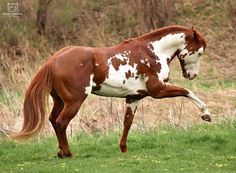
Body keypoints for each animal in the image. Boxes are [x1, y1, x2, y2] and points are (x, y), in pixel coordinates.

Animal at [10, 25, 212, 157]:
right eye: (200, 52)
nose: (192, 75)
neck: (151, 52)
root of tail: (53, 60)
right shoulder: (158, 90)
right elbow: (187, 92)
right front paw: (206, 114)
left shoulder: (134, 97)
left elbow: (127, 123)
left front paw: (123, 149)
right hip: (74, 101)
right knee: (61, 122)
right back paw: (68, 153)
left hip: (60, 100)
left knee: (53, 120)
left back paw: (60, 152)